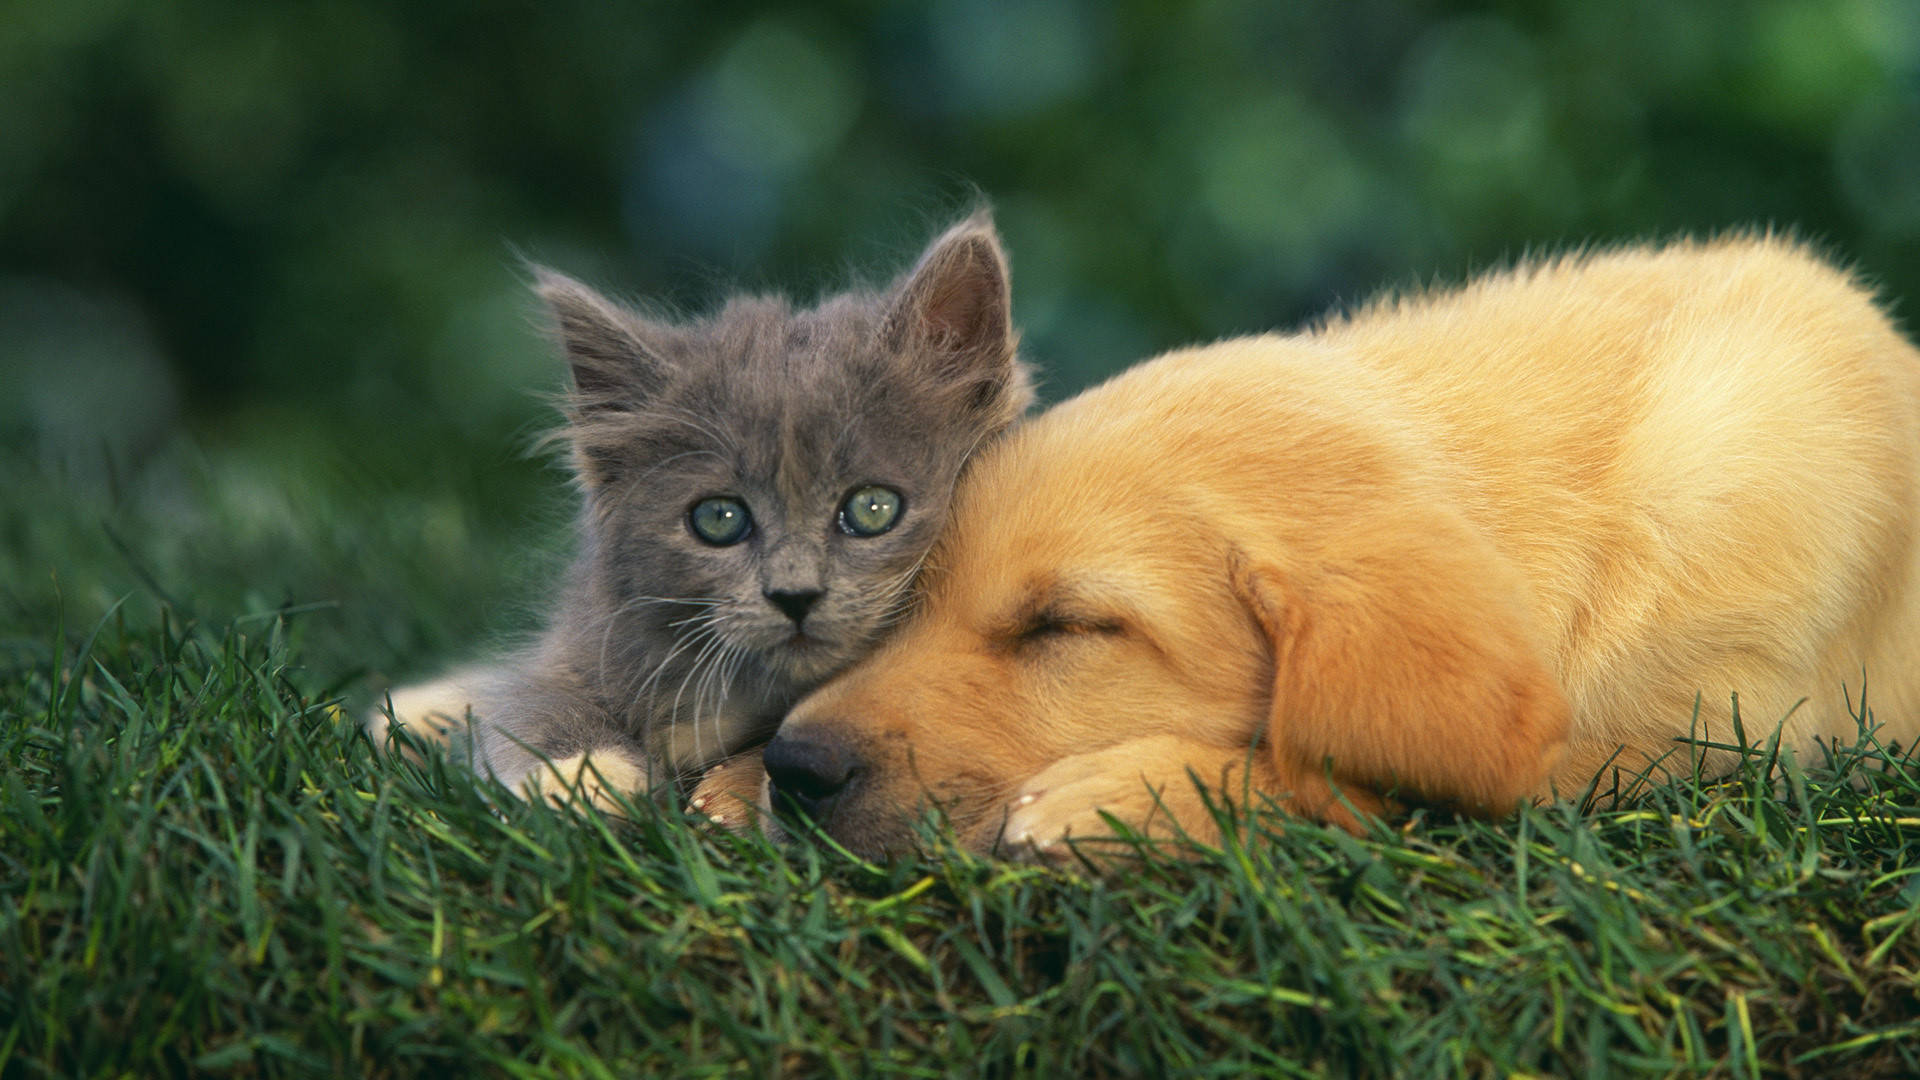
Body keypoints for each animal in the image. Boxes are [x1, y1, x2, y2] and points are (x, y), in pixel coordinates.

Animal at [376, 214, 1036, 803]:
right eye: (719, 519)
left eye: (873, 508)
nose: (795, 595)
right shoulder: (586, 639)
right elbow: (530, 699)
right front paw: (581, 773)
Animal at [702, 235, 1920, 857]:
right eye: (910, 605)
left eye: (1069, 627)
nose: (796, 768)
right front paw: (730, 781)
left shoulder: (1714, 739)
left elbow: (1379, 771)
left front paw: (1133, 793)